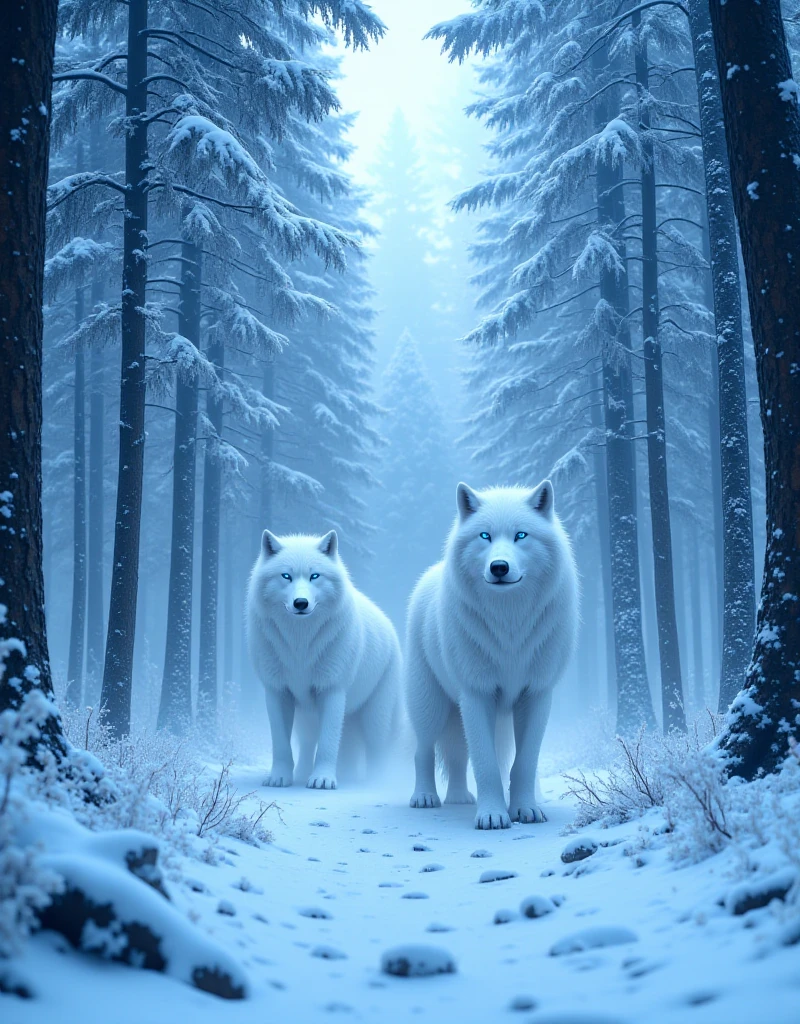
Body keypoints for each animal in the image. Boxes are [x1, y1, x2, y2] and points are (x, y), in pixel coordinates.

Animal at [246, 529, 401, 790]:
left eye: (314, 576)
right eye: (286, 576)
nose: (301, 603)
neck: (299, 643)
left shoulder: (333, 690)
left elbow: (328, 743)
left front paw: (323, 779)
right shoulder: (276, 691)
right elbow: (280, 743)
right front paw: (280, 777)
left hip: (375, 718)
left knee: (377, 752)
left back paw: (376, 782)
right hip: (307, 718)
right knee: (310, 744)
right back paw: (305, 773)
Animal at [405, 481, 578, 829]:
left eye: (521, 535)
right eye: (484, 536)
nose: (499, 567)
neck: (510, 624)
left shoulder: (537, 694)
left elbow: (524, 762)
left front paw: (526, 809)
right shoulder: (476, 693)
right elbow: (484, 763)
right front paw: (492, 815)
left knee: (460, 756)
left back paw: (460, 797)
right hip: (431, 706)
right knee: (425, 751)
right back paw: (426, 797)